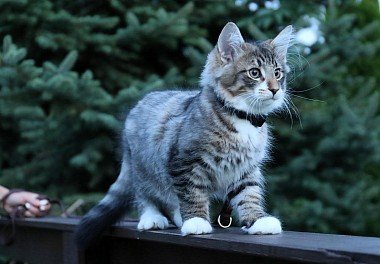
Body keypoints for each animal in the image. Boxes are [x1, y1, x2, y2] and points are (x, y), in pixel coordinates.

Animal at [74, 21, 294, 249]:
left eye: (277, 73)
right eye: (254, 72)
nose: (275, 89)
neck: (243, 118)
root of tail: (137, 106)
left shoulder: (246, 168)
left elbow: (249, 194)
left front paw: (258, 220)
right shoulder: (185, 162)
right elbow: (192, 192)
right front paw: (196, 221)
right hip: (145, 169)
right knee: (146, 195)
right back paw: (153, 217)